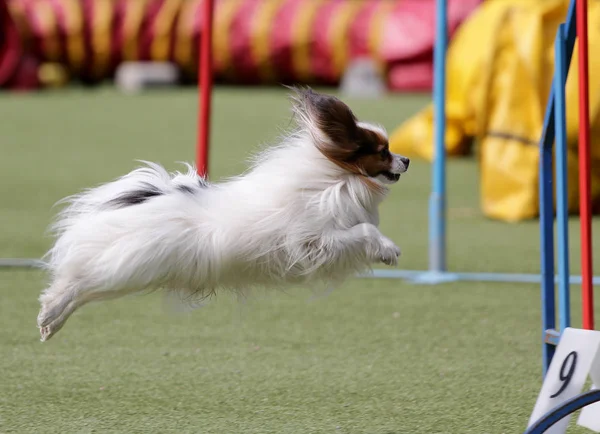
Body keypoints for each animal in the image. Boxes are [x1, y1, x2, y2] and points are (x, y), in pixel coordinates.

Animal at [36, 86, 408, 340]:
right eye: (383, 151)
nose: (406, 160)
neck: (336, 179)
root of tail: (146, 198)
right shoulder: (313, 241)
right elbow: (365, 232)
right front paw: (389, 250)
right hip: (128, 267)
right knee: (78, 283)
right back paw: (50, 313)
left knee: (82, 288)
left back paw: (51, 324)